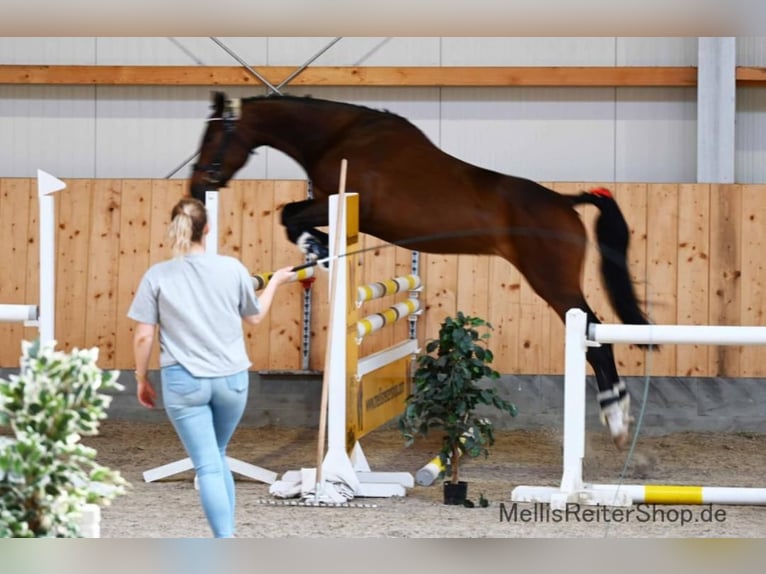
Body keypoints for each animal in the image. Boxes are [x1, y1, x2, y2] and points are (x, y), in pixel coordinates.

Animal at [189, 91, 652, 450]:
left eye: (213, 136)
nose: (196, 186)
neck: (338, 136)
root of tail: (566, 203)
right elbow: (291, 214)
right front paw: (320, 248)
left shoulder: (343, 203)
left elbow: (290, 215)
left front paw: (318, 247)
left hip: (553, 283)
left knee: (594, 333)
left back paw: (616, 417)